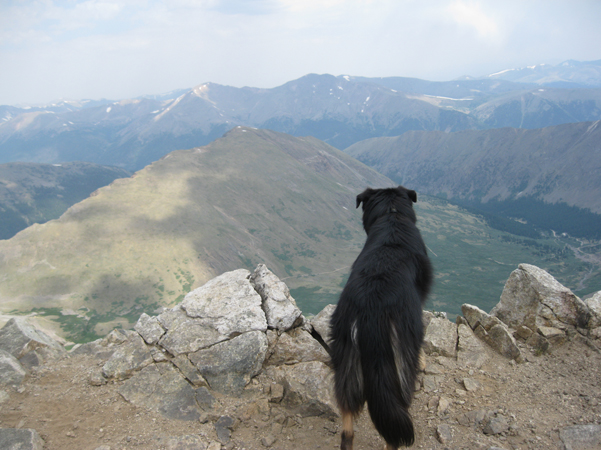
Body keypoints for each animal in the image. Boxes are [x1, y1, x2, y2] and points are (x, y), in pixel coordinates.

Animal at [328, 185, 432, 448]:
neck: (391, 215)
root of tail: (370, 309)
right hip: (398, 362)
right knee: (394, 420)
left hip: (346, 356)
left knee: (347, 421)